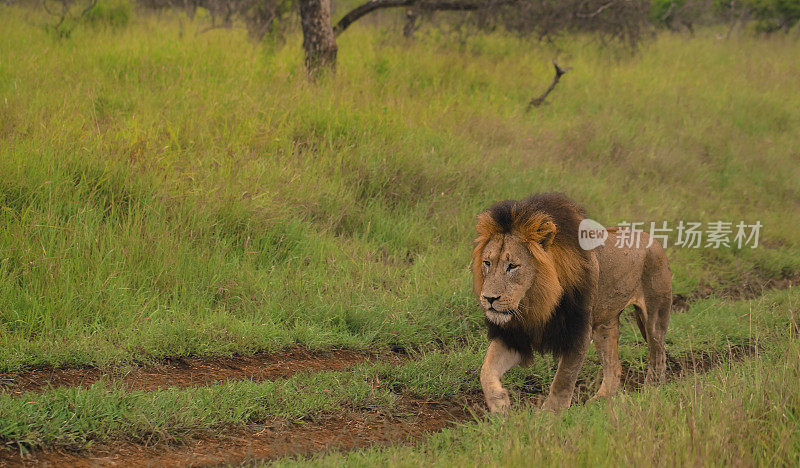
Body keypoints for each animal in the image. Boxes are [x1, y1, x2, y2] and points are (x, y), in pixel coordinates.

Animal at [472, 194, 672, 414]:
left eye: (512, 266)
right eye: (487, 263)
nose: (489, 298)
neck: (536, 301)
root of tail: (651, 238)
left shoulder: (578, 333)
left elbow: (563, 379)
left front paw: (549, 416)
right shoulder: (515, 336)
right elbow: (486, 369)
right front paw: (500, 404)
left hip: (654, 316)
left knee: (658, 355)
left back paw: (651, 391)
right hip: (605, 325)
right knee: (614, 366)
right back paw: (600, 401)